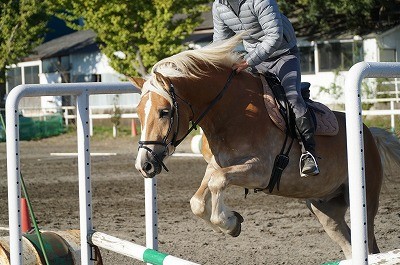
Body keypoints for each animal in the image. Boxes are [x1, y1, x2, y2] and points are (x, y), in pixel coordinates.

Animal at [131, 35, 400, 258]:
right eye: (139, 113)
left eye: (164, 112)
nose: (144, 165)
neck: (231, 112)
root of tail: (369, 133)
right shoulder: (217, 165)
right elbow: (199, 200)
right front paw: (232, 222)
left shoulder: (260, 171)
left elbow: (218, 182)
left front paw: (229, 222)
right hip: (325, 208)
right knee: (348, 244)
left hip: (364, 200)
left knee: (370, 247)